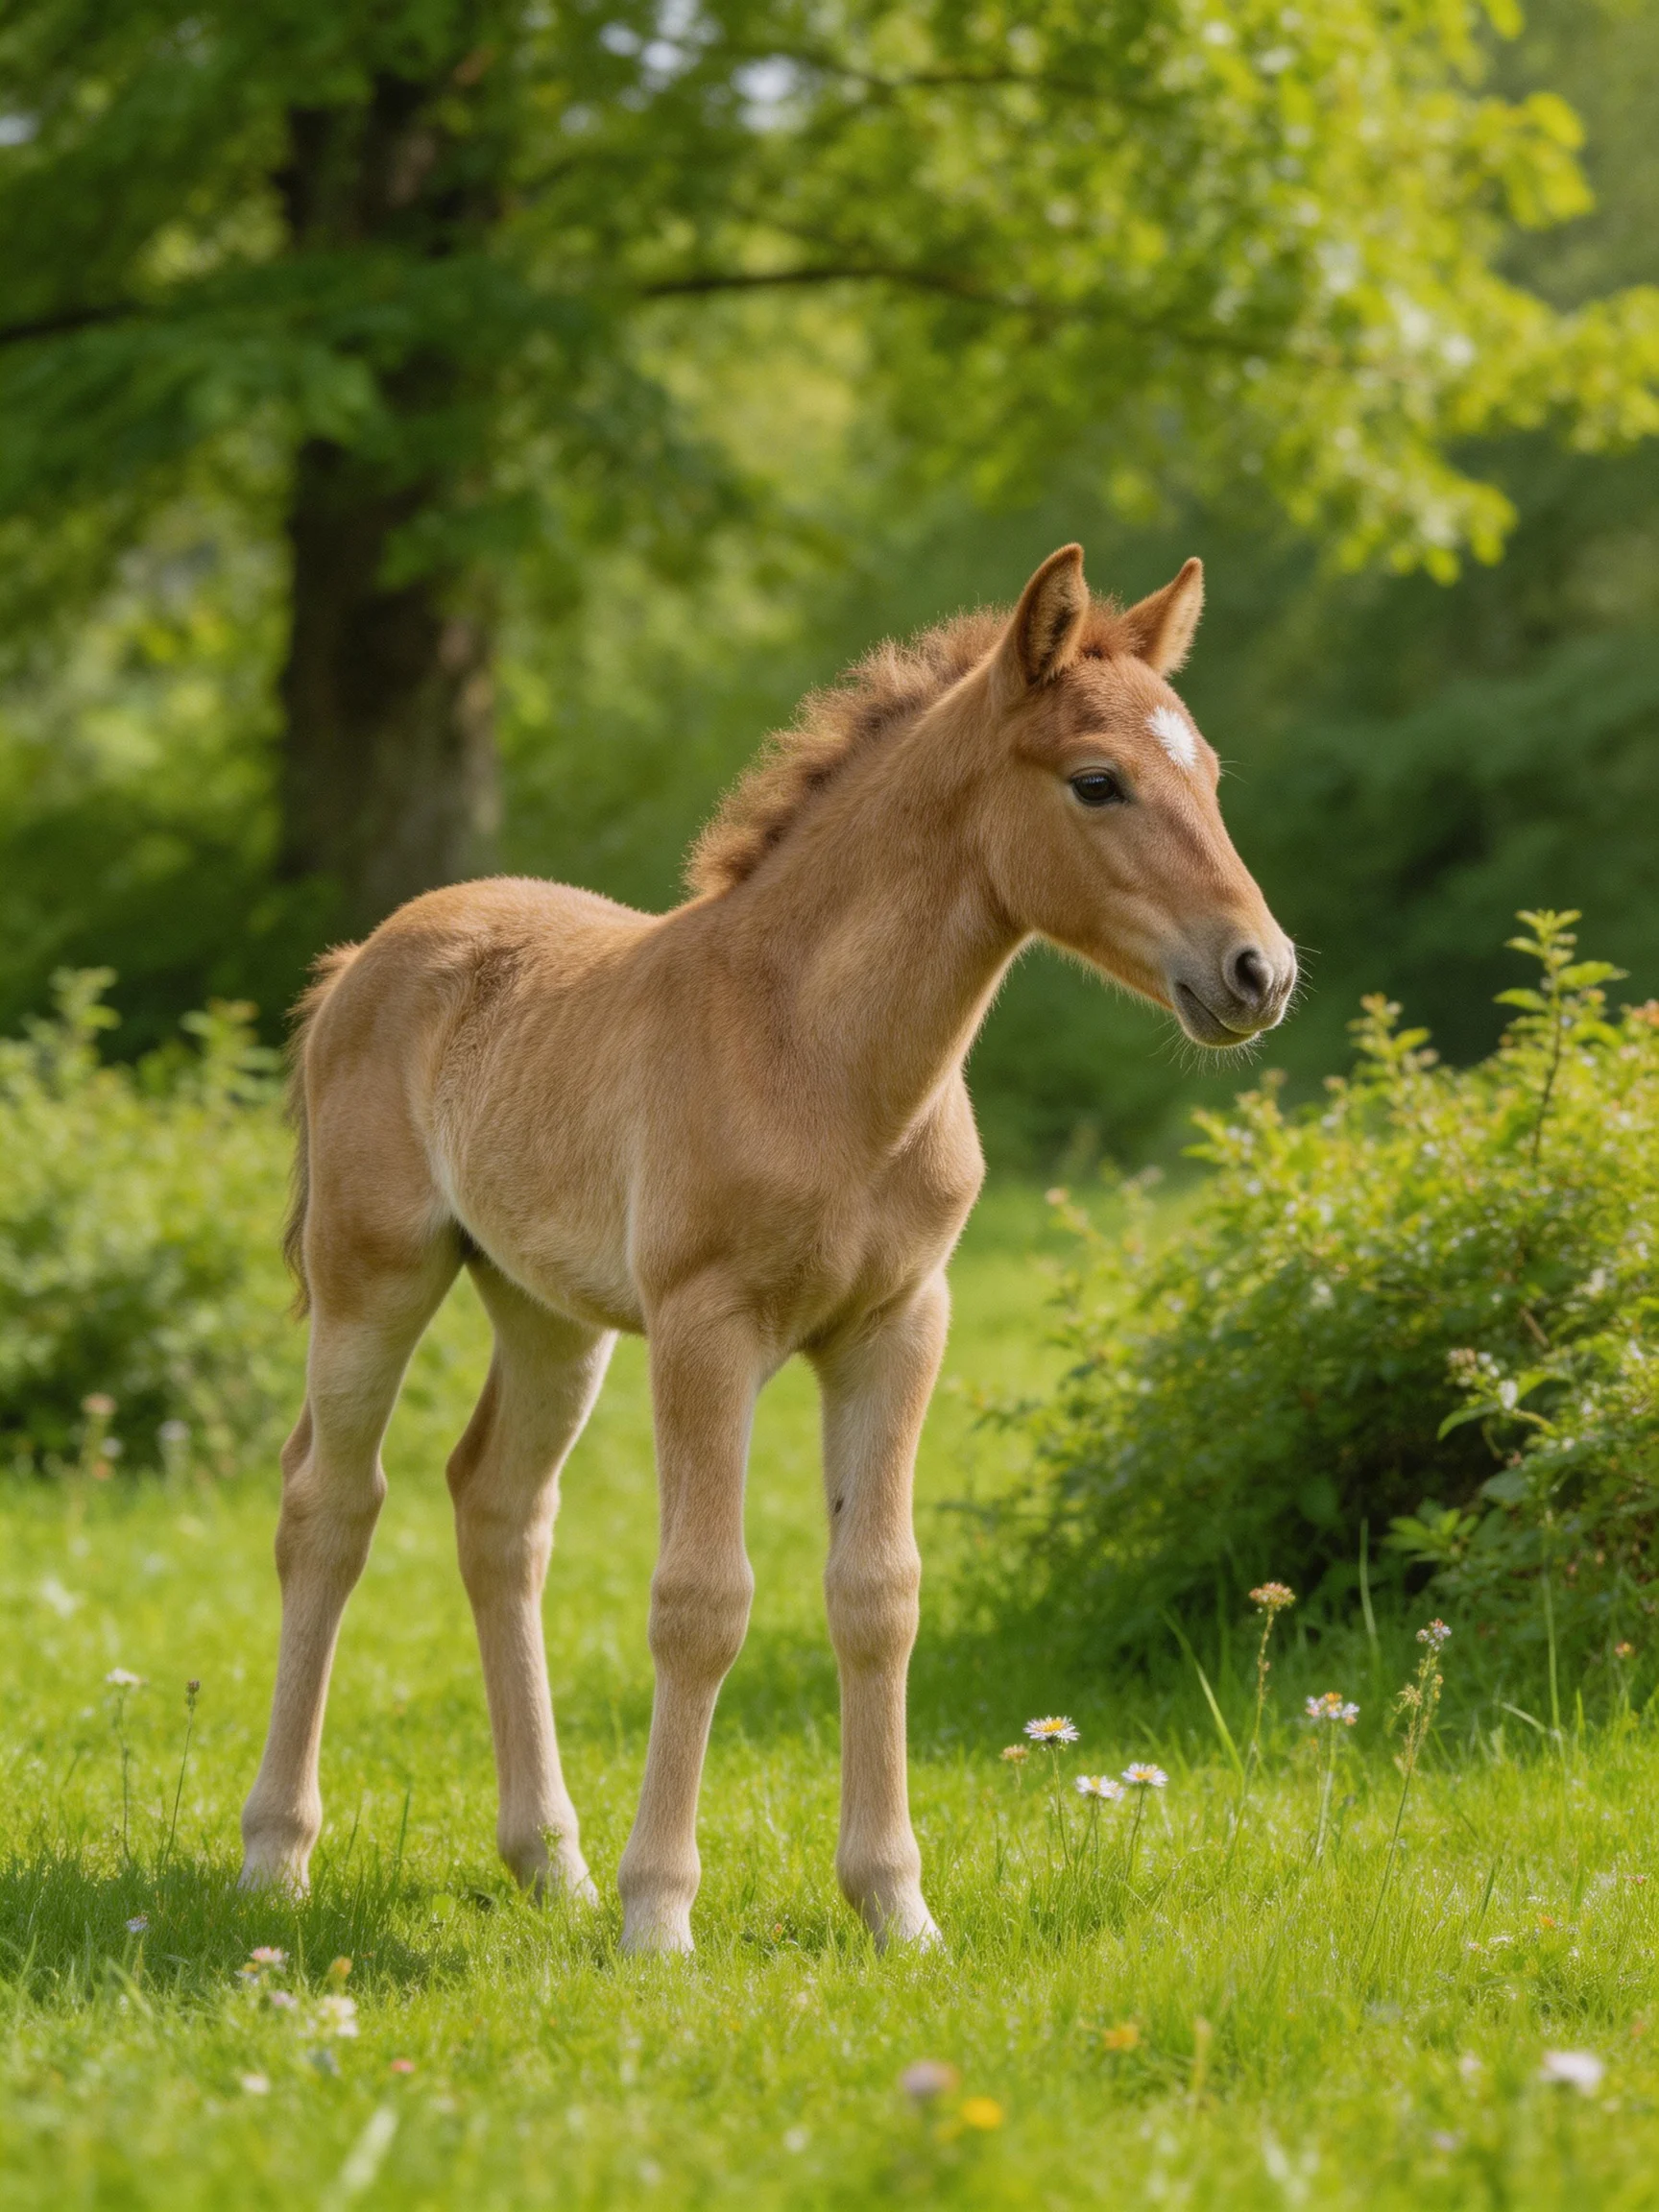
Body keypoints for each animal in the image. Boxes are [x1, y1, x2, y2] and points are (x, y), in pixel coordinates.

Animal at [239, 543, 1296, 1952]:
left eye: (1212, 774)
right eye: (1097, 780)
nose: (1258, 972)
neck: (821, 1054)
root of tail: (367, 955)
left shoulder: (901, 1324)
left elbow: (878, 1594)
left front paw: (896, 1908)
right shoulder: (706, 1328)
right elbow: (700, 1601)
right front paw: (658, 1917)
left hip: (549, 1312)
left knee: (499, 1510)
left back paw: (550, 1862)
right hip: (375, 1279)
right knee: (330, 1505)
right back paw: (278, 1856)